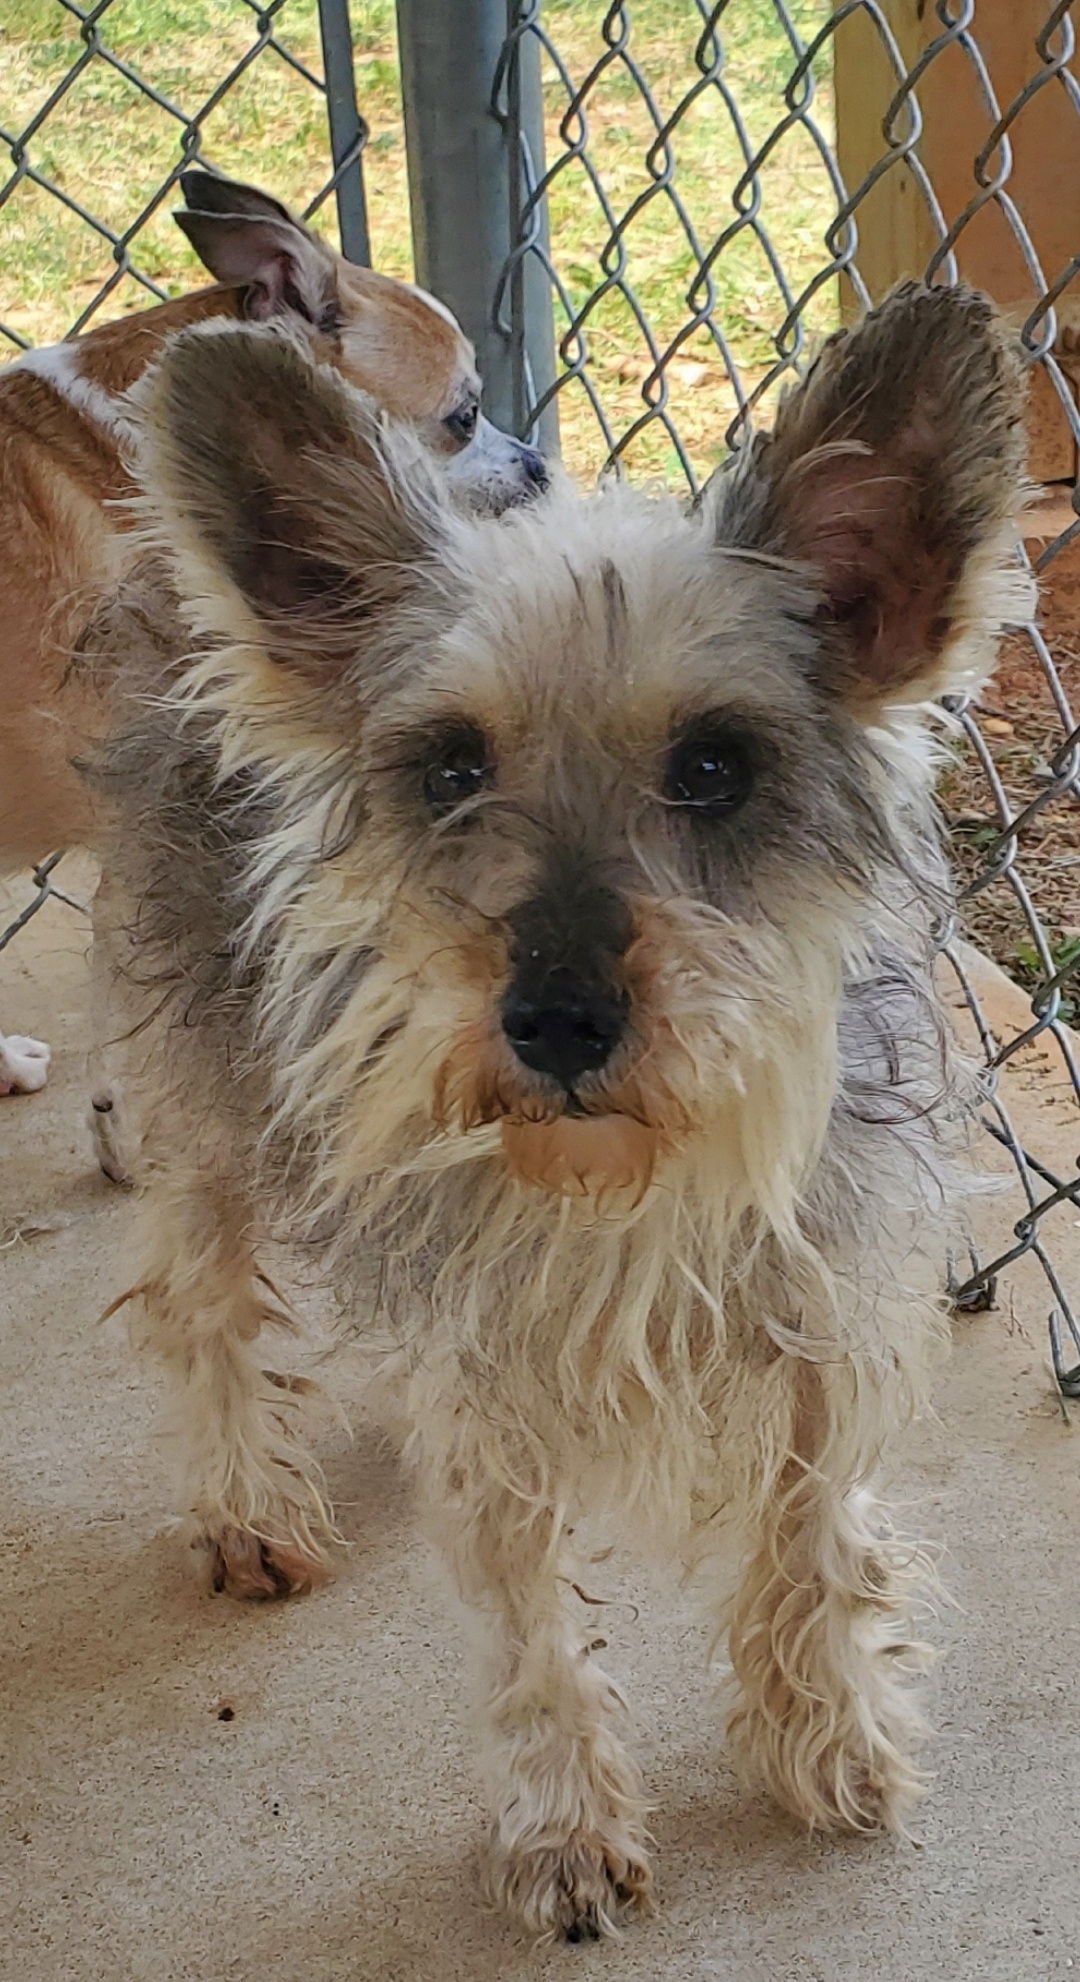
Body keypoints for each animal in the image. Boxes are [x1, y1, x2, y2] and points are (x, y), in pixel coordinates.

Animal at [103, 287, 1030, 1942]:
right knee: (199, 1301)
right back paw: (246, 1499)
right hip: (207, 1100)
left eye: (716, 765)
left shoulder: (819, 1314)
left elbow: (815, 1536)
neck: (625, 1177)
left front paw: (827, 1731)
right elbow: (524, 1614)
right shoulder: (489, 1379)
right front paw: (563, 1821)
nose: (552, 1021)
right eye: (451, 764)